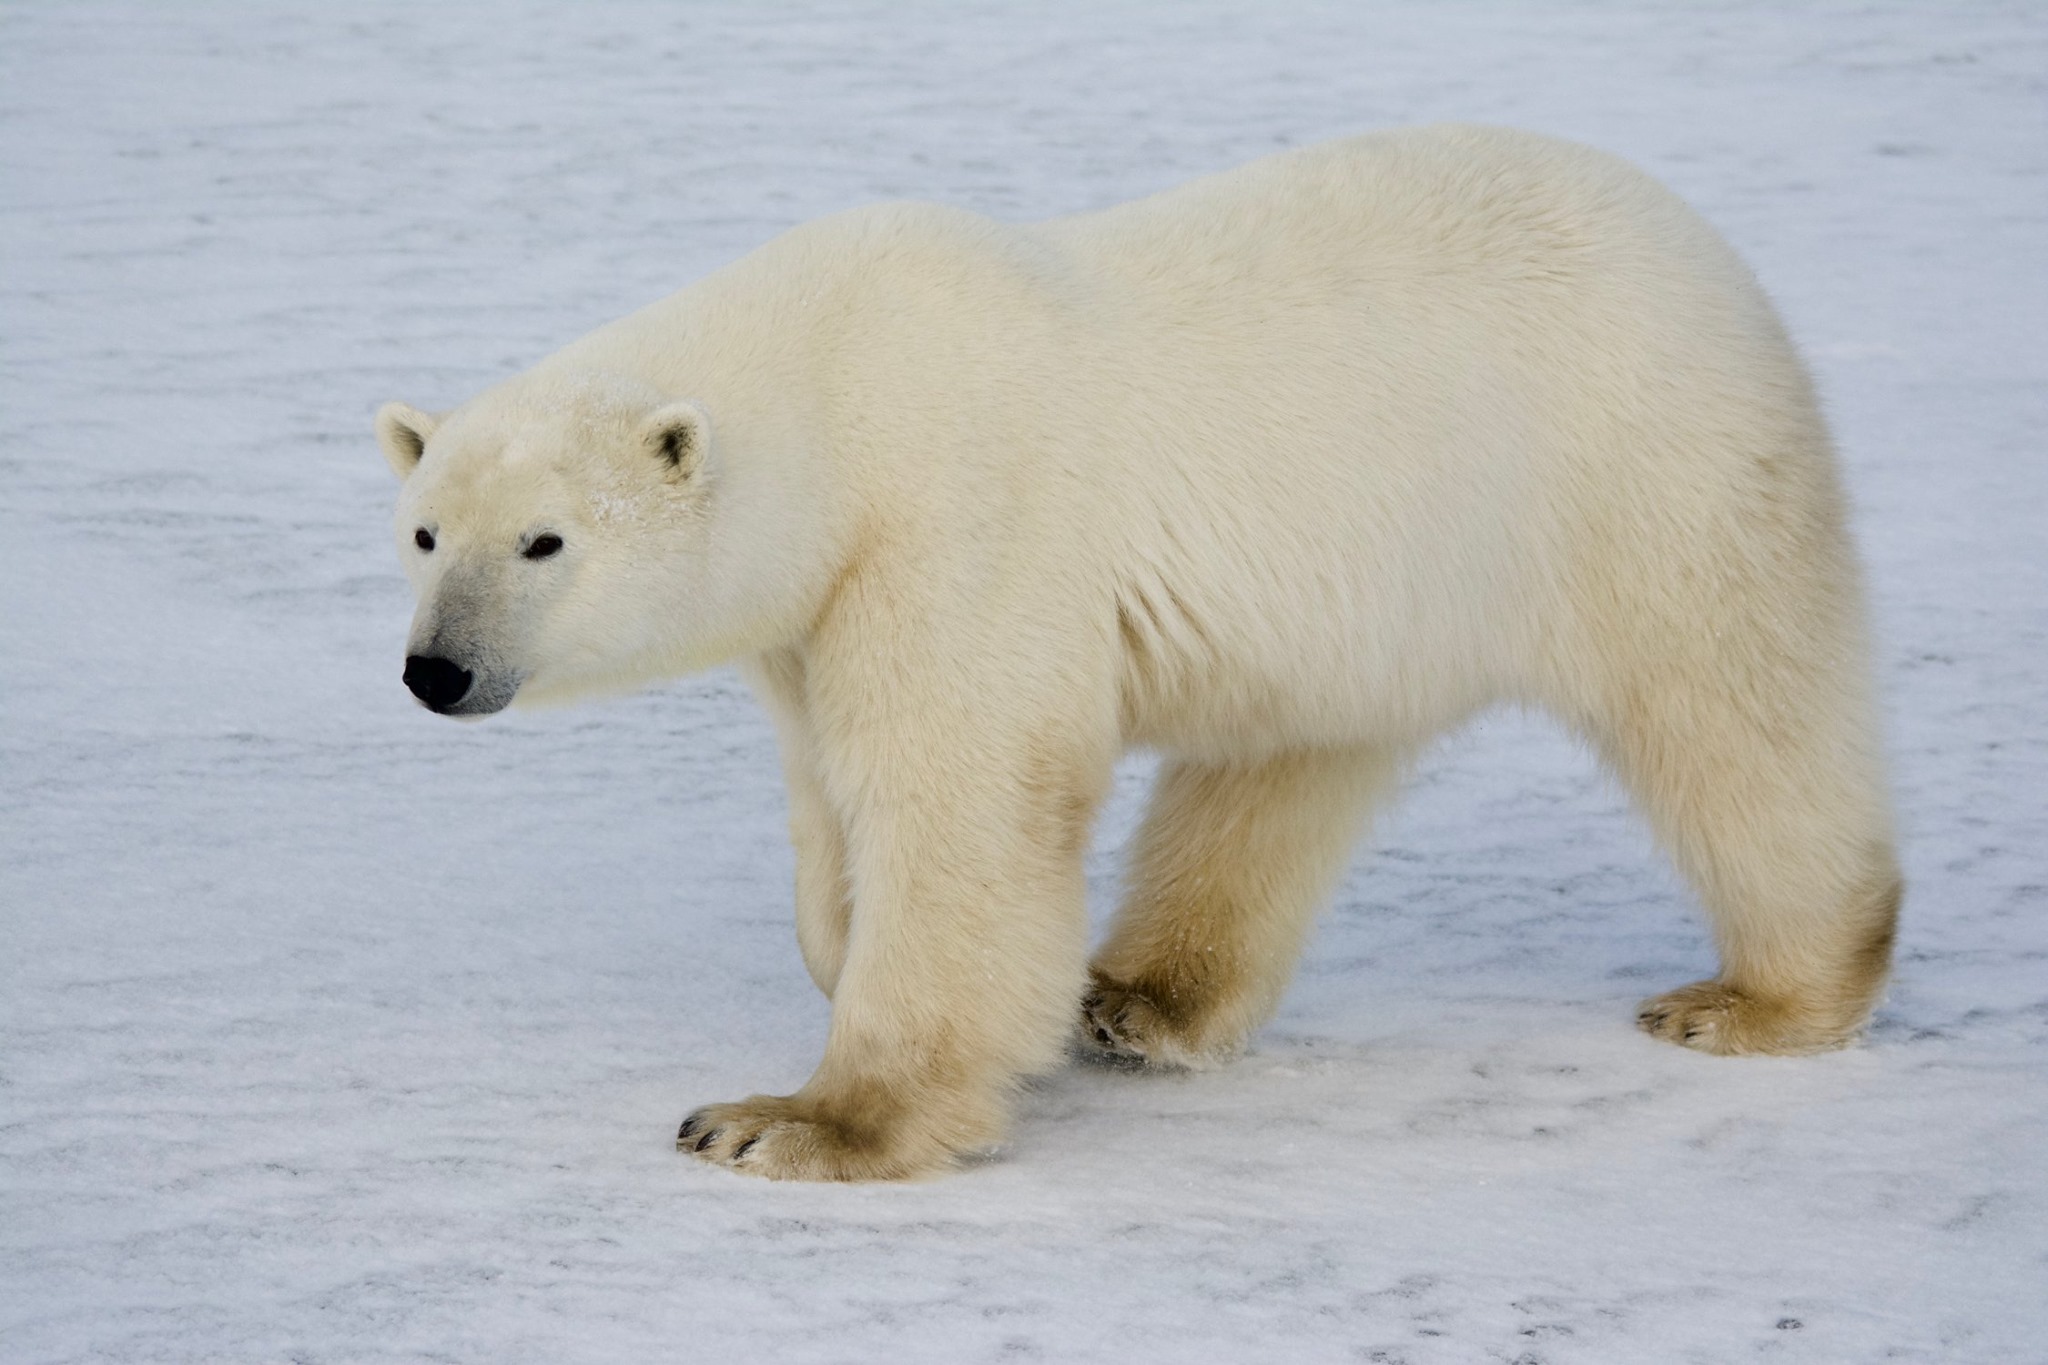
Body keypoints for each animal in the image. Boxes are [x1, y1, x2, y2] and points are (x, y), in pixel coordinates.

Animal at [376, 124, 1900, 1182]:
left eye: (545, 543)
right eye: (425, 530)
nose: (435, 672)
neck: (840, 391)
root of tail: (1702, 245)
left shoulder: (959, 526)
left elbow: (960, 801)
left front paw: (789, 1122)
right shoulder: (819, 609)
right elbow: (830, 801)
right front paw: (861, 950)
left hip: (1642, 472)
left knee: (1732, 708)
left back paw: (1760, 995)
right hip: (1376, 587)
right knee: (1281, 771)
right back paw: (1137, 997)